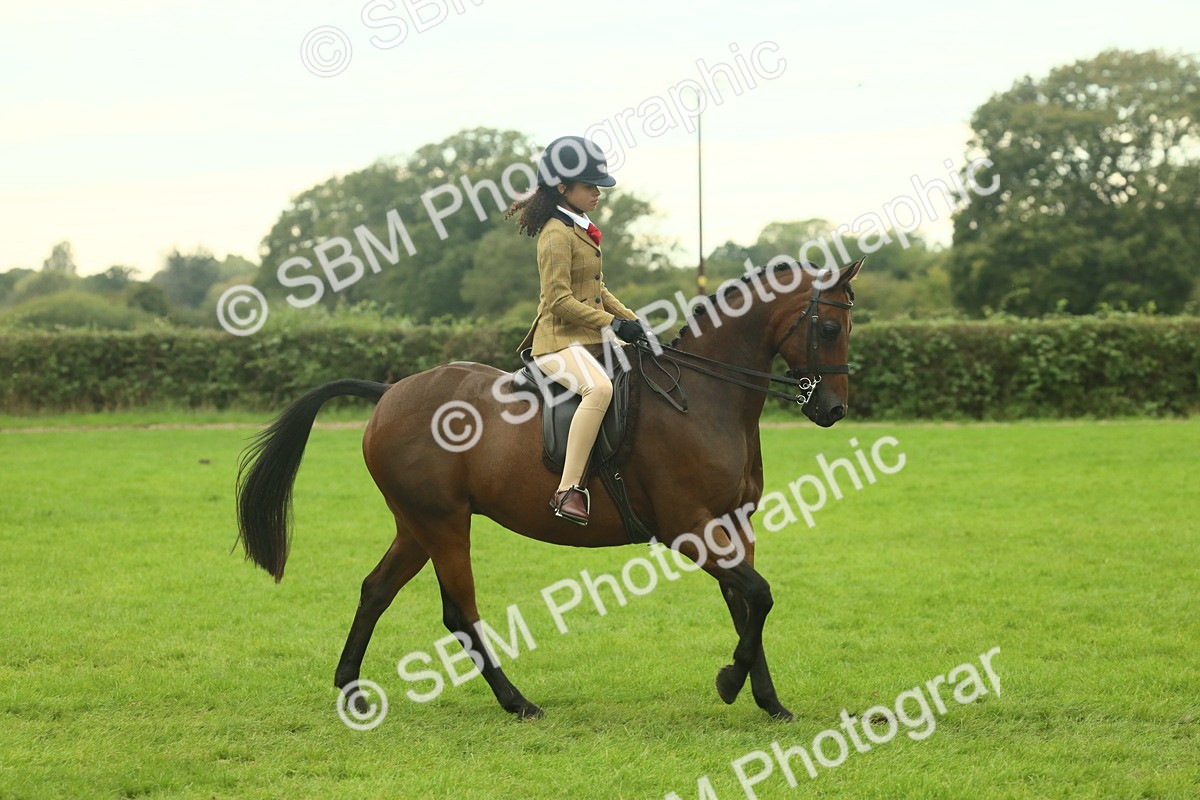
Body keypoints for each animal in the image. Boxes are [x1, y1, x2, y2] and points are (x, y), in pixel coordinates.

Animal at [235, 257, 863, 721]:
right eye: (830, 327)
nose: (832, 410)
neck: (705, 397)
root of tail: (389, 392)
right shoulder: (689, 528)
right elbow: (759, 595)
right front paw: (731, 682)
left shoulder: (734, 524)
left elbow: (746, 604)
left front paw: (768, 700)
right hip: (442, 523)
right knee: (460, 612)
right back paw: (518, 703)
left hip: (416, 525)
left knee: (375, 591)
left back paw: (352, 691)